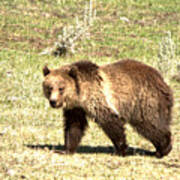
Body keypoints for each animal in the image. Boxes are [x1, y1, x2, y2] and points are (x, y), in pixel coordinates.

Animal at [41, 59, 173, 158]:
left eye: (61, 88)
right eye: (49, 87)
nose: (53, 101)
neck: (80, 95)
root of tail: (162, 80)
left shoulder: (98, 99)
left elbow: (110, 121)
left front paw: (120, 150)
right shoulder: (76, 108)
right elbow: (74, 126)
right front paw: (66, 150)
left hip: (144, 100)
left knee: (149, 124)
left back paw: (163, 149)